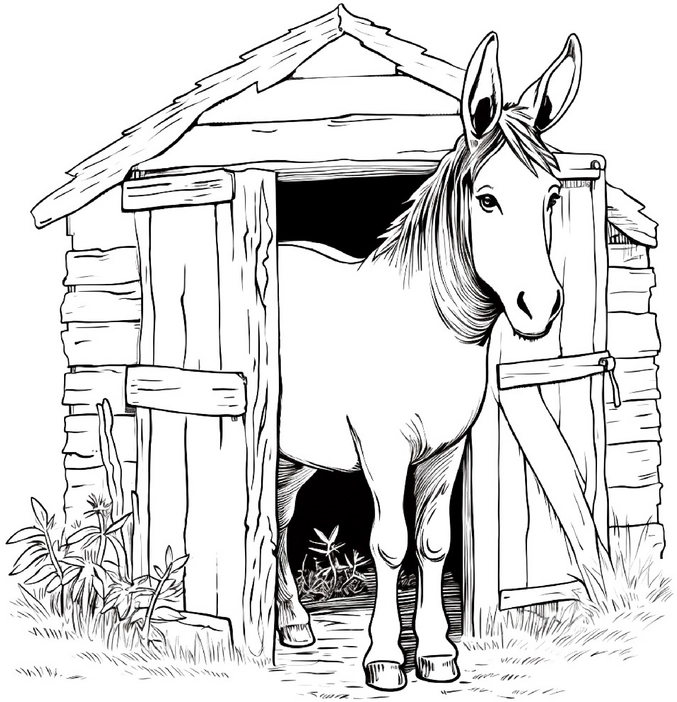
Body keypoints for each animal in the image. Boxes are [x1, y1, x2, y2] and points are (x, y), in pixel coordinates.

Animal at [275, 32, 582, 691]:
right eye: (487, 199)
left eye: (550, 196)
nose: (540, 306)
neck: (425, 330)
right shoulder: (383, 451)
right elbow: (391, 543)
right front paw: (386, 658)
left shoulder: (445, 451)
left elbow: (435, 542)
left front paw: (439, 653)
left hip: (295, 451)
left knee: (281, 514)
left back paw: (293, 622)